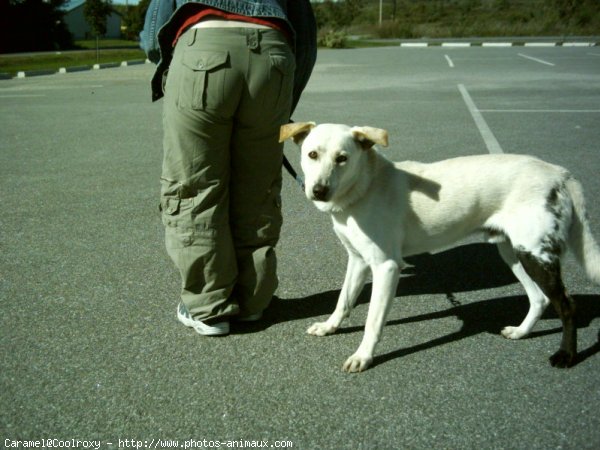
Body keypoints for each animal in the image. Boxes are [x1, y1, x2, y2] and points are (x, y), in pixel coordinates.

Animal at [282, 122, 600, 372]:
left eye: (342, 158)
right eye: (312, 154)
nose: (318, 191)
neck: (365, 187)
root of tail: (559, 173)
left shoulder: (386, 267)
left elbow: (373, 320)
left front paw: (363, 356)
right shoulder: (358, 261)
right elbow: (343, 301)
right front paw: (329, 326)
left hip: (535, 255)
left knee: (567, 305)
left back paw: (566, 356)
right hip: (514, 253)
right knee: (539, 299)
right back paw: (521, 332)